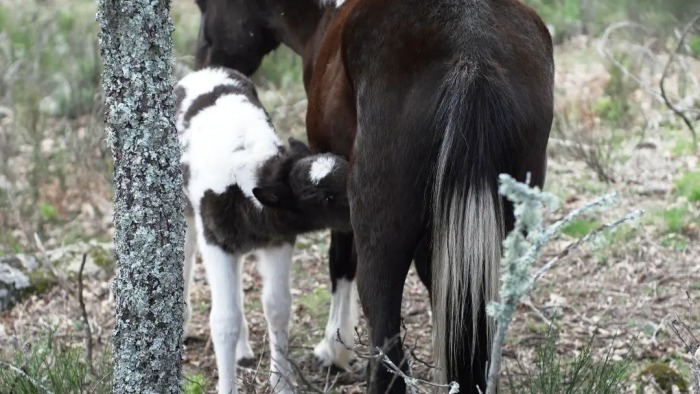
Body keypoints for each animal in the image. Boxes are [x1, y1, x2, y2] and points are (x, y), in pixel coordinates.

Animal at [175, 66, 350, 392]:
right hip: (186, 208)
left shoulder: (278, 240)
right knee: (186, 253)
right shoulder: (216, 241)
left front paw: (281, 384)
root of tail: (201, 72)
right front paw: (227, 387)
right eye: (325, 198)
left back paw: (243, 350)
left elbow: (278, 307)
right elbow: (224, 321)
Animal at [194, 1, 556, 392]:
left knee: (386, 345)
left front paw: (334, 347)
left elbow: (340, 261)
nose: (203, 64)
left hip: (379, 234)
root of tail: (470, 51)